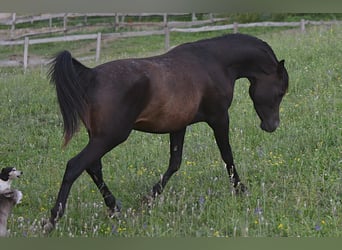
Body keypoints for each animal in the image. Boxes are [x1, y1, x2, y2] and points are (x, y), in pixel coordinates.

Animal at [42, 33, 288, 232]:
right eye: (280, 92)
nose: (272, 125)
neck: (214, 63)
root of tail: (90, 75)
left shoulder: (179, 125)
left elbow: (174, 163)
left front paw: (149, 198)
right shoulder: (219, 118)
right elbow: (227, 155)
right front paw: (240, 189)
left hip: (99, 137)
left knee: (93, 167)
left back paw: (115, 208)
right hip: (109, 137)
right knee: (75, 166)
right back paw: (52, 220)